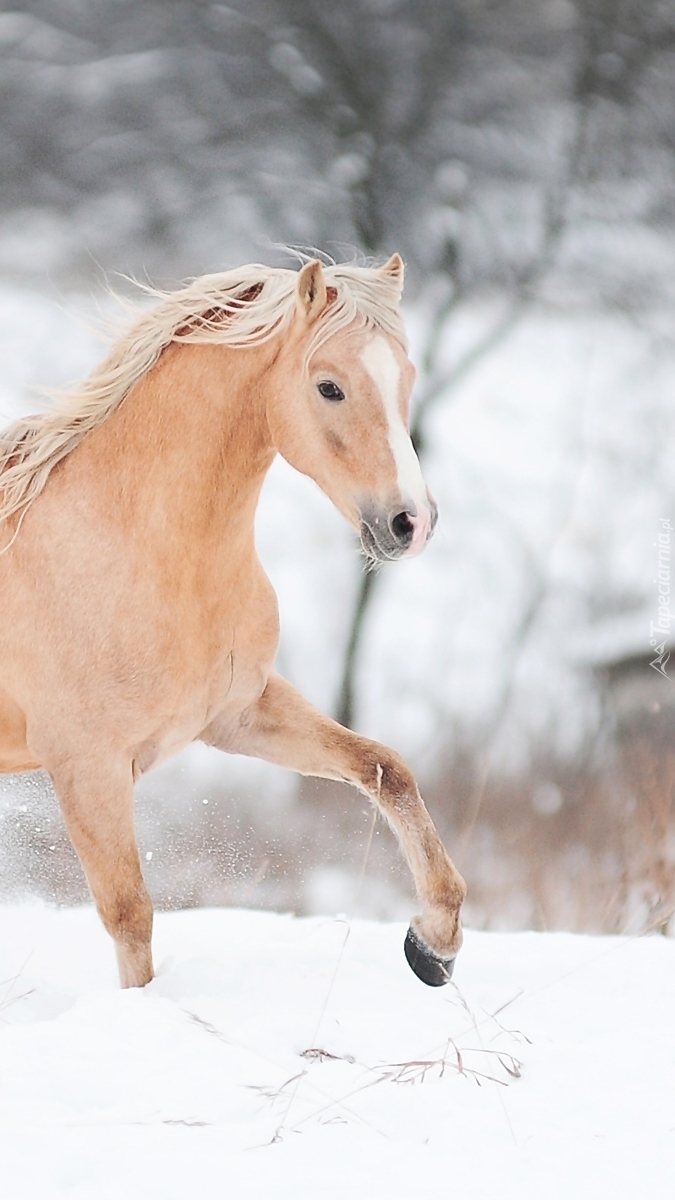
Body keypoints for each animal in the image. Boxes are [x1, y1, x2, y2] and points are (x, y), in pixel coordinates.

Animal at [0, 250, 461, 984]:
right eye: (329, 387)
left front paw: (433, 944)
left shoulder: (239, 712)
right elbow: (129, 916)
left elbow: (385, 769)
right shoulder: (88, 767)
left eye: (406, 378)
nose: (410, 524)